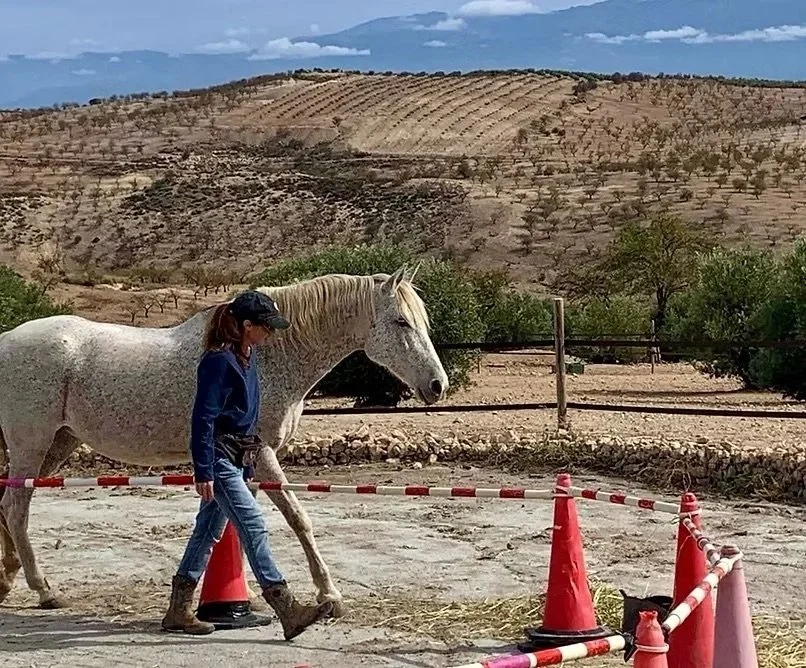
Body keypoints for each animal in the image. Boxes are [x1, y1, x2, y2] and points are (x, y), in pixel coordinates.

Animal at [0, 266, 448, 615]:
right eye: (401, 322)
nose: (437, 385)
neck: (266, 356)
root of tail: (6, 341)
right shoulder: (261, 452)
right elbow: (295, 517)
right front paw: (329, 594)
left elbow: (231, 523)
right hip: (31, 446)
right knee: (16, 508)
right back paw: (43, 590)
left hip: (58, 444)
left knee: (6, 505)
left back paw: (8, 578)